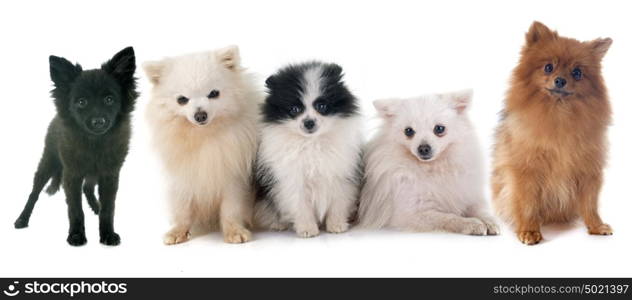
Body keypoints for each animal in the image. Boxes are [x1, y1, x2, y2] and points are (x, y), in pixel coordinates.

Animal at [14, 47, 138, 246]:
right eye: (81, 102)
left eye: (109, 99)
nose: (98, 122)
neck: (94, 143)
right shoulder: (71, 174)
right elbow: (75, 209)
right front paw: (76, 235)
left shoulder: (109, 175)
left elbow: (108, 208)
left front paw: (107, 234)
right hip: (48, 163)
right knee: (34, 193)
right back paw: (22, 219)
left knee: (88, 188)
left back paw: (96, 206)